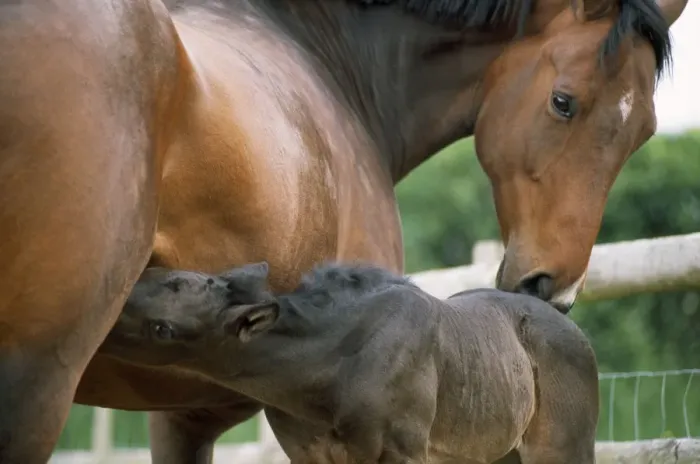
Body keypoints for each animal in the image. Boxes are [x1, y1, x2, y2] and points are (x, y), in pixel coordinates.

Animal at [99, 261, 599, 464]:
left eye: (162, 330)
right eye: (169, 276)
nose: (108, 310)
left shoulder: (403, 452)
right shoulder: (312, 457)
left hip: (560, 448)